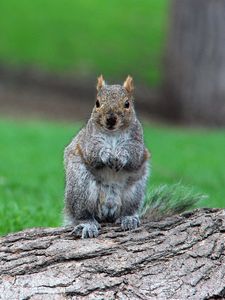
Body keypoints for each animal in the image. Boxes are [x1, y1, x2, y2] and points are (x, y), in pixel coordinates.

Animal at [62, 75, 202, 239]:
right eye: (97, 103)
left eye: (127, 104)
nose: (111, 119)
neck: (113, 133)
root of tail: (108, 209)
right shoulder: (88, 140)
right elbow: (92, 152)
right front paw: (106, 154)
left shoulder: (137, 142)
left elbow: (134, 156)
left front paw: (122, 156)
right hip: (81, 188)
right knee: (83, 214)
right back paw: (87, 224)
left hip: (134, 191)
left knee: (126, 211)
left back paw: (128, 219)